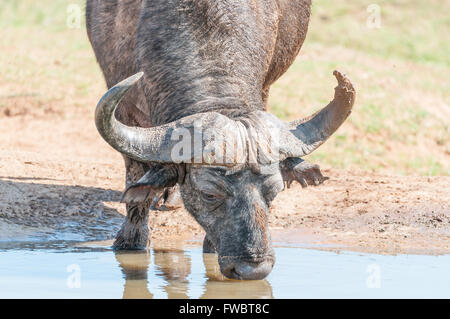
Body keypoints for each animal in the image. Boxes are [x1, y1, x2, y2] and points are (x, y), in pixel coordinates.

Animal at [87, 0, 356, 280]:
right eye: (209, 195)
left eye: (274, 193)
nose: (253, 269)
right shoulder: (127, 112)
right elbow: (136, 183)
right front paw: (132, 241)